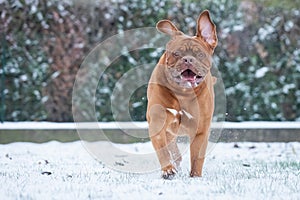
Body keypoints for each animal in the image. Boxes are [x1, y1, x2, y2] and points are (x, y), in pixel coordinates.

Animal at [146, 10, 217, 179]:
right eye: (176, 53)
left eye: (200, 54)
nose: (188, 59)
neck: (183, 93)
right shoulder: (157, 122)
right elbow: (163, 150)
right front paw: (168, 170)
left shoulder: (201, 129)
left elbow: (197, 156)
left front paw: (195, 176)